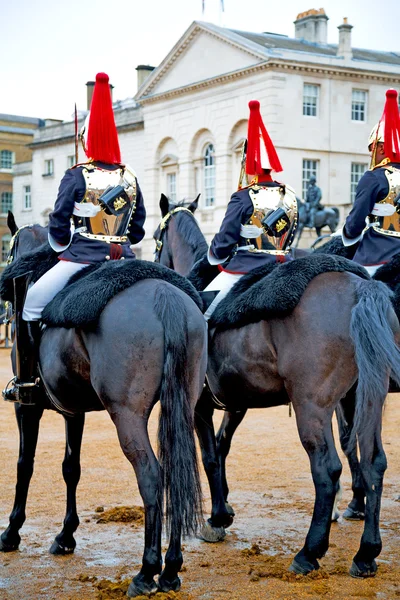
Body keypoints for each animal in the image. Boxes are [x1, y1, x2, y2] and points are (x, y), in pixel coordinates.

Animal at [0, 213, 206, 596]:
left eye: (10, 249)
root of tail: (164, 296)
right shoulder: (73, 410)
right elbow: (71, 468)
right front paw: (65, 536)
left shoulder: (27, 407)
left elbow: (24, 466)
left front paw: (11, 532)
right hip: (182, 407)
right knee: (174, 472)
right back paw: (171, 569)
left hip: (127, 416)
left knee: (151, 474)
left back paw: (147, 571)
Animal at [154, 197, 400, 580]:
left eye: (156, 237)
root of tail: (362, 287)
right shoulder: (236, 401)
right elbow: (222, 447)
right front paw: (224, 507)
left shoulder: (199, 404)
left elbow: (210, 455)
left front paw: (217, 517)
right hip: (363, 398)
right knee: (374, 461)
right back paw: (366, 553)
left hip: (313, 407)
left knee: (327, 469)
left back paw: (309, 551)